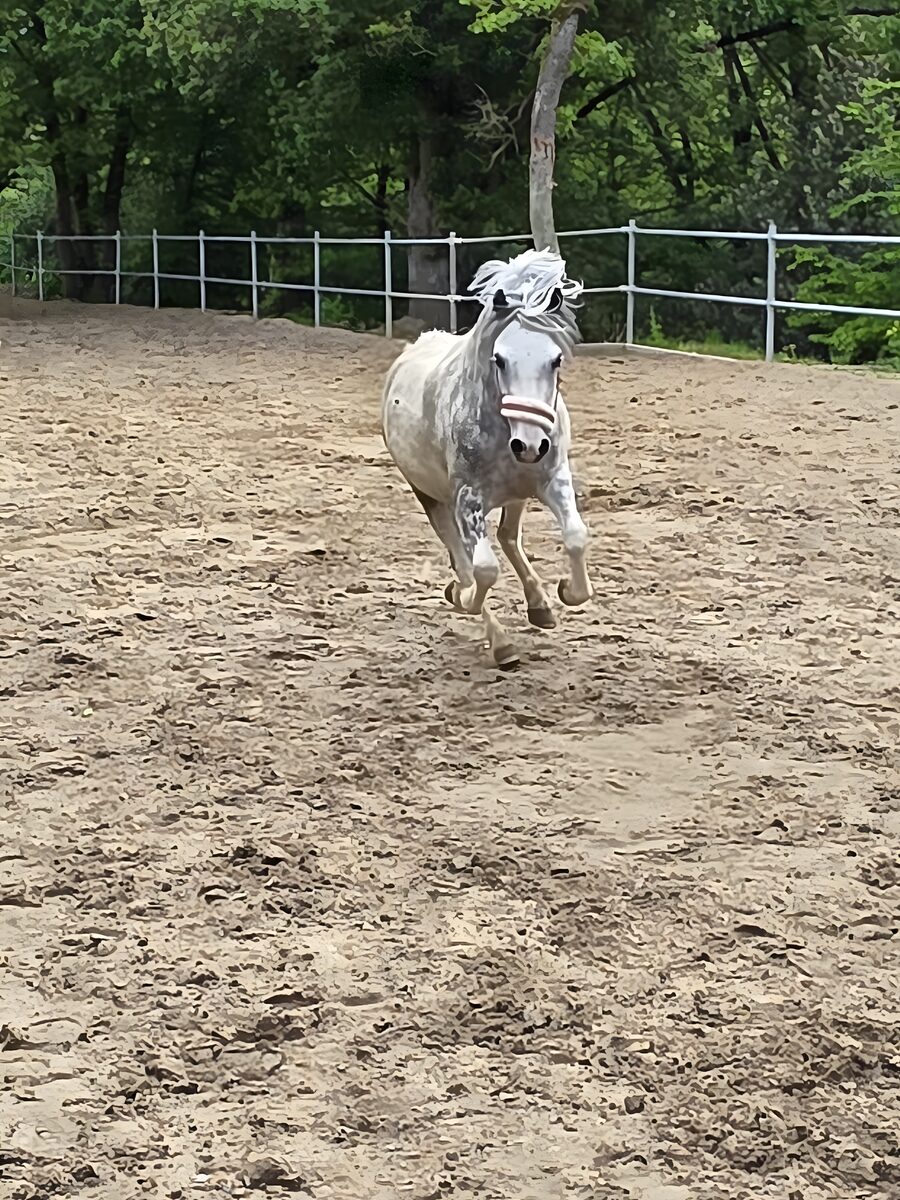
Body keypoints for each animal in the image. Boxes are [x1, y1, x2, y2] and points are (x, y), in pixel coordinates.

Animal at [381, 248, 593, 668]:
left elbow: (576, 536)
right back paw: (492, 629)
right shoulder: (467, 499)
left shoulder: (553, 479)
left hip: (516, 494)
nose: (530, 446)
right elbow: (481, 570)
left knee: (507, 537)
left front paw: (567, 591)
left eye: (555, 359)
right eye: (500, 359)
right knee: (465, 559)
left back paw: (540, 606)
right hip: (432, 498)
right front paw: (468, 606)